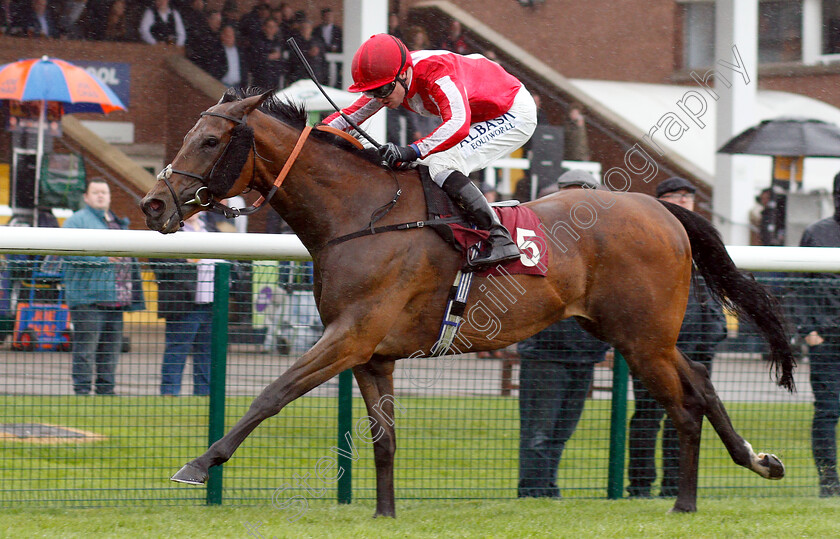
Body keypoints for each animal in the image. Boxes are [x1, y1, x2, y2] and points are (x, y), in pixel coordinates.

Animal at [143, 88, 796, 516]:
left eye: (208, 140)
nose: (153, 205)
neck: (361, 216)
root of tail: (662, 208)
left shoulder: (350, 336)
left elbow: (271, 394)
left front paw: (198, 465)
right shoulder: (372, 355)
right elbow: (383, 440)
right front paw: (384, 514)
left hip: (642, 338)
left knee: (685, 407)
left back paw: (685, 503)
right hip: (637, 334)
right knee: (702, 384)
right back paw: (759, 461)